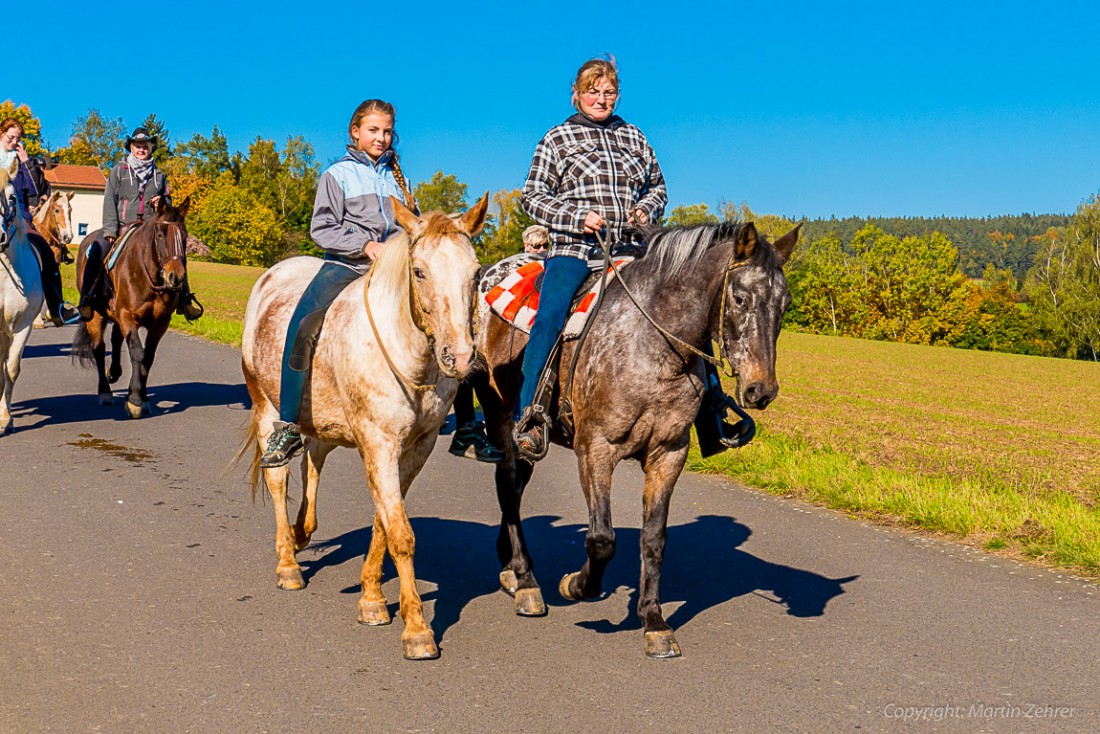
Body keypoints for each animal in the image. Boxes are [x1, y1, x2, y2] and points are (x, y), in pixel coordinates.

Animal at [70, 198, 191, 418]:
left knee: (116, 339)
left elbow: (148, 357)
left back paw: (114, 372)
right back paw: (105, 392)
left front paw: (141, 397)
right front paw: (134, 399)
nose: (176, 277)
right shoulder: (127, 315)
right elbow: (137, 352)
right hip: (96, 315)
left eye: (184, 237)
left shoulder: (160, 323)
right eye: (160, 235)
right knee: (99, 348)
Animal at [475, 220, 800, 660]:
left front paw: (654, 621)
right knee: (509, 487)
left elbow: (654, 538)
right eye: (740, 297)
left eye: (784, 303)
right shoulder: (595, 449)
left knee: (514, 487)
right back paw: (526, 581)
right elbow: (601, 539)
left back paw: (510, 566)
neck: (652, 345)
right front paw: (577, 586)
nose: (761, 391)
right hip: (502, 417)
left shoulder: (669, 454)